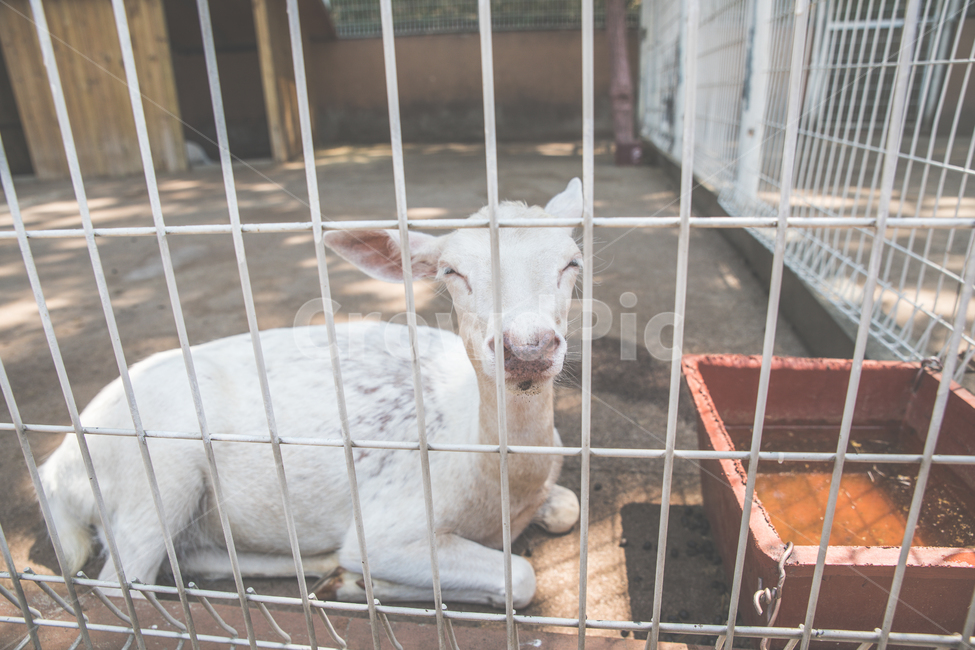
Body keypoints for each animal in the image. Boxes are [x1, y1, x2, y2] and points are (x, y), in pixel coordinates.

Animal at [38, 179, 584, 608]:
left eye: (572, 263)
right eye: (451, 271)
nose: (527, 346)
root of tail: (54, 471)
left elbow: (569, 507)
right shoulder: (390, 525)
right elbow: (520, 576)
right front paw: (362, 579)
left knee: (190, 555)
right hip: (158, 461)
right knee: (122, 579)